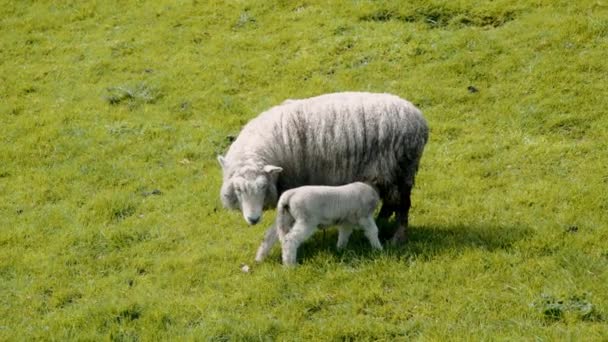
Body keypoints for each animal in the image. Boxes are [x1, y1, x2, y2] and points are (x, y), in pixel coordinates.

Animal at [218, 91, 428, 251]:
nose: (253, 219)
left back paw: (397, 238)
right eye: (238, 190)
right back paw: (381, 223)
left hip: (400, 170)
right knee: (389, 203)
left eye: (263, 186)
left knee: (402, 205)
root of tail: (419, 119)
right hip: (388, 173)